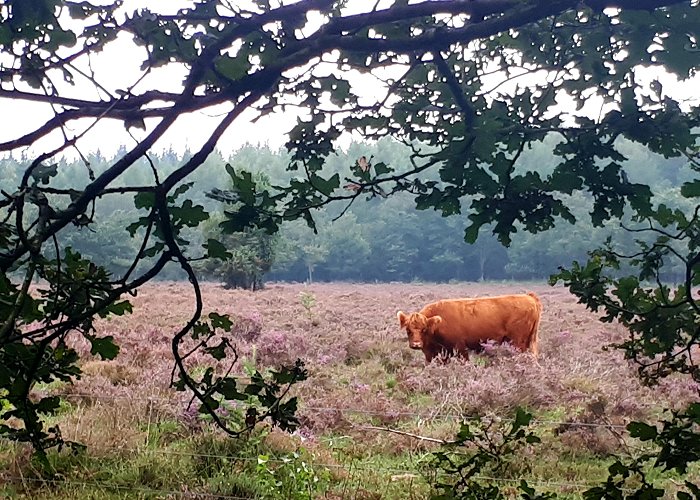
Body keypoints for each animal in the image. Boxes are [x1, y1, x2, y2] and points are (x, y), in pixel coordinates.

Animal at [400, 292, 540, 362]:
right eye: (408, 330)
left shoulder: (460, 349)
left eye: (423, 329)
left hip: (518, 343)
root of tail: (529, 297)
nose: (416, 344)